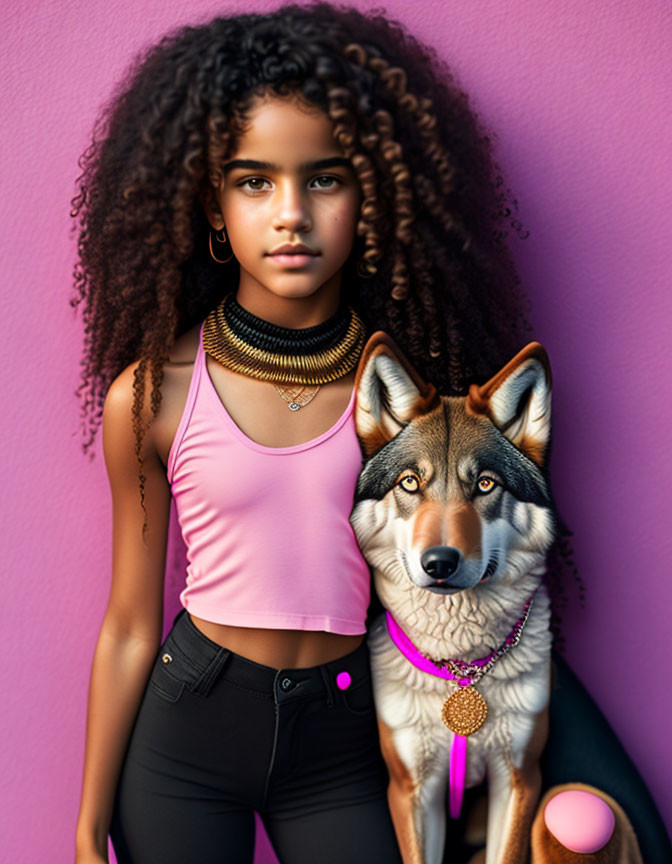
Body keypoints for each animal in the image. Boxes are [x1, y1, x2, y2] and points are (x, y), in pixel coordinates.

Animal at [346, 332, 556, 864]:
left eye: (484, 484)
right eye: (410, 483)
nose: (439, 562)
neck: (462, 667)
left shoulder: (520, 780)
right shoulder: (412, 790)